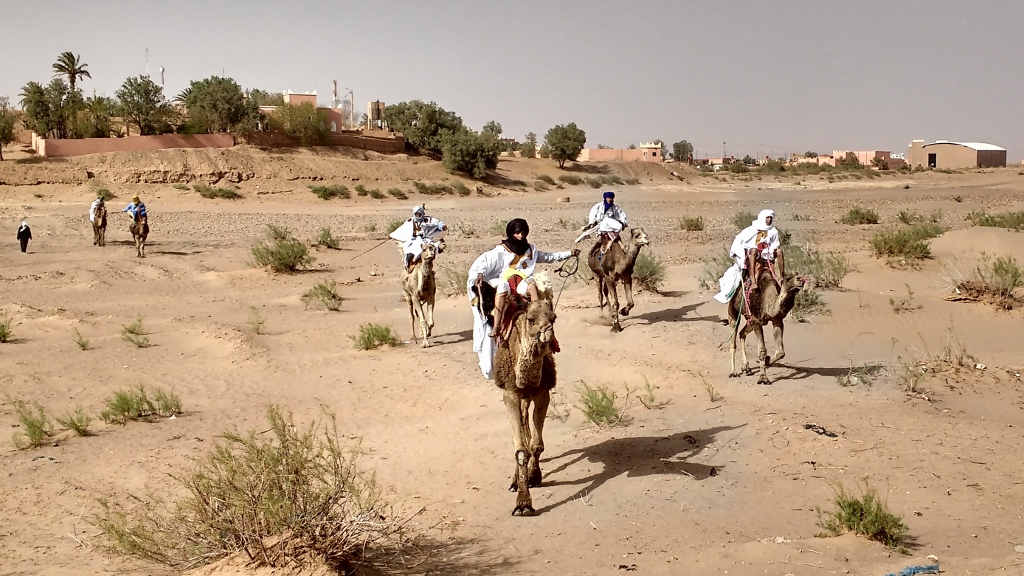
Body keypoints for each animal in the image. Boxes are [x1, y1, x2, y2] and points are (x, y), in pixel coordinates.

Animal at [490, 273, 558, 516]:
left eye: (553, 318)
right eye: (530, 319)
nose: (547, 334)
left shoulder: (542, 393)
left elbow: (536, 445)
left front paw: (534, 477)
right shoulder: (510, 394)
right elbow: (520, 449)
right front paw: (523, 504)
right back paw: (514, 480)